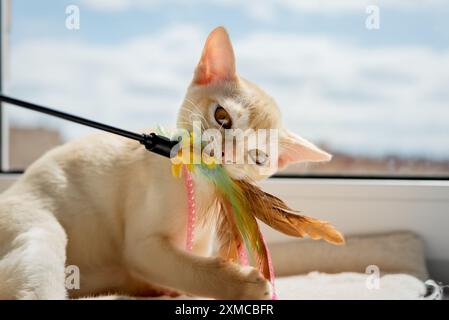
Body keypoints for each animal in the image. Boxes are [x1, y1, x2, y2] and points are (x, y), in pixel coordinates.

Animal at [0, 27, 328, 300]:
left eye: (258, 157)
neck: (199, 187)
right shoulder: (142, 246)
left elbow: (188, 263)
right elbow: (192, 270)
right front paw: (243, 284)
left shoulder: (196, 243)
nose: (227, 153)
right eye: (222, 117)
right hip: (41, 229)